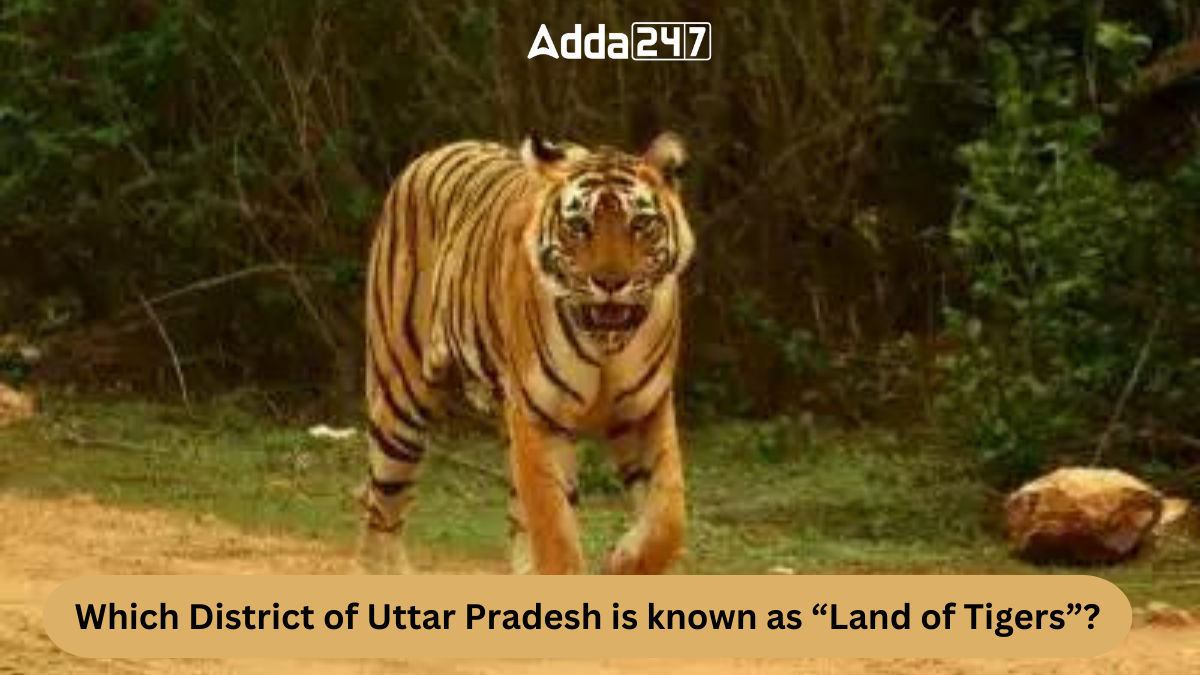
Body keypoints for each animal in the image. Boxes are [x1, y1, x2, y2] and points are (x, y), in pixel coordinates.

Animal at [361, 132, 693, 575]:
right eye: (579, 226)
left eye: (640, 224)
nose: (610, 282)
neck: (606, 347)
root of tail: (432, 153)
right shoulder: (539, 418)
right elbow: (554, 531)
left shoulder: (644, 411)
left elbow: (669, 518)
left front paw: (623, 560)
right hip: (400, 402)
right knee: (380, 509)